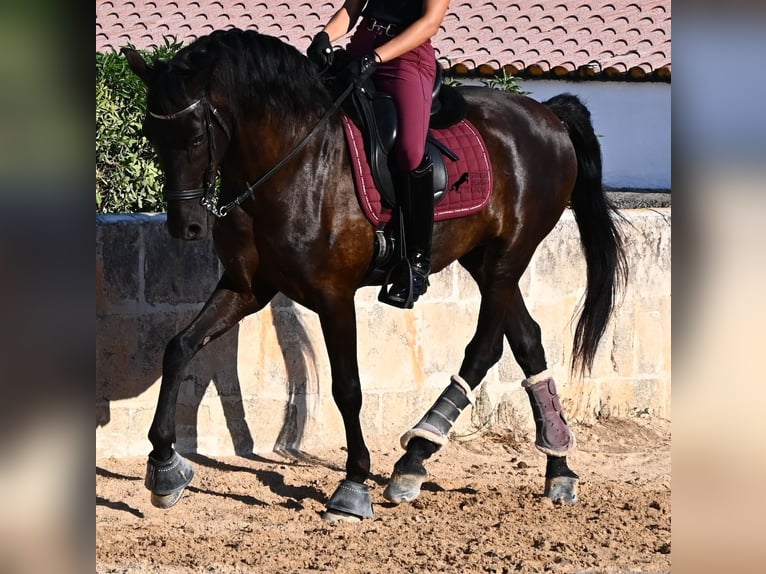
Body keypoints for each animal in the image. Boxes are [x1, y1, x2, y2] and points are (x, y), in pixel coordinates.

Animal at [123, 28, 626, 522]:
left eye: (194, 136)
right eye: (151, 133)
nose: (185, 226)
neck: (294, 162)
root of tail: (548, 115)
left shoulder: (334, 296)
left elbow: (348, 388)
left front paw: (352, 487)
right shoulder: (246, 288)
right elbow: (179, 348)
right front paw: (165, 469)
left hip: (508, 257)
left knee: (485, 348)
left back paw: (418, 452)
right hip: (484, 260)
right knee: (527, 341)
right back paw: (554, 466)